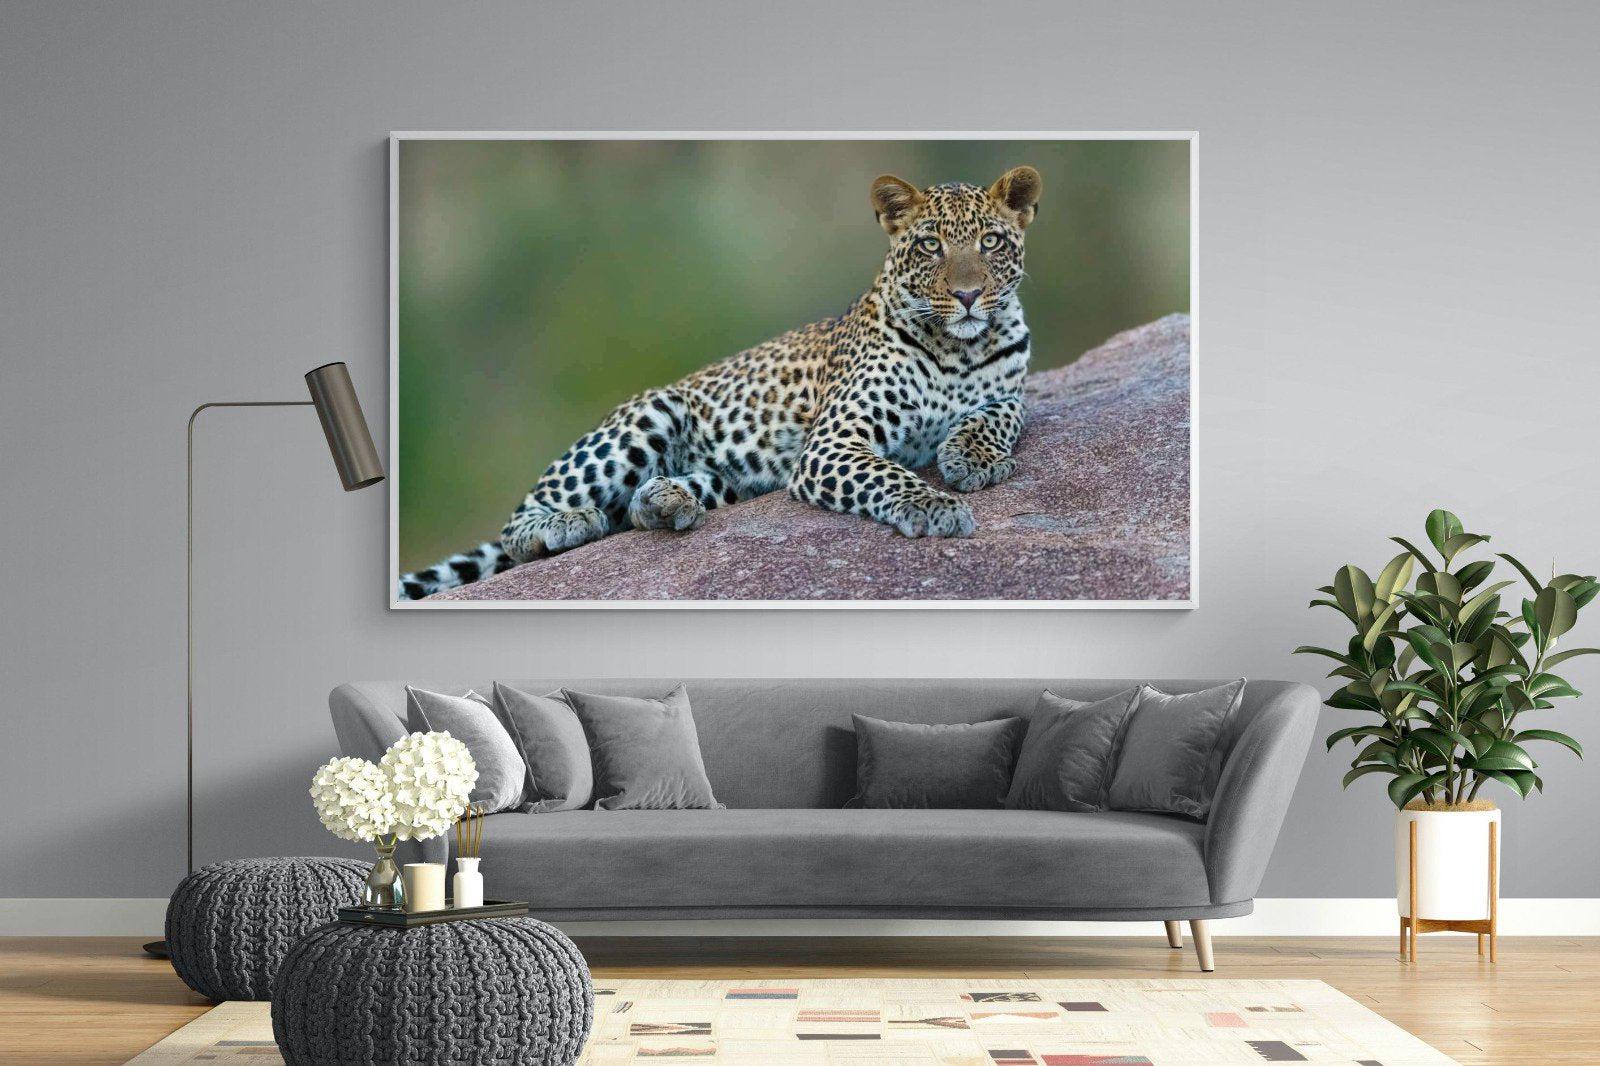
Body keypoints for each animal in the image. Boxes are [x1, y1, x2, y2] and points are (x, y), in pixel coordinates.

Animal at [399, 165, 1041, 600]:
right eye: (930, 245)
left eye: (990, 242)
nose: (968, 295)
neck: (959, 347)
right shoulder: (834, 442)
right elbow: (889, 474)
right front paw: (936, 504)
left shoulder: (1011, 390)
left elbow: (1001, 414)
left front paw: (970, 457)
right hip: (644, 418)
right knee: (521, 521)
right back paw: (567, 522)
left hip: (729, 479)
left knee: (643, 506)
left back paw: (664, 502)